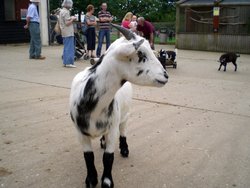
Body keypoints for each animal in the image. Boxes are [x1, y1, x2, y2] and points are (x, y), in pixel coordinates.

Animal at [69, 23, 169, 188]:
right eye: (141, 53)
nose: (166, 75)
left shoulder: (113, 128)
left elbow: (108, 157)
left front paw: (106, 182)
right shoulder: (80, 132)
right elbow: (88, 157)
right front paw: (91, 179)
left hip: (125, 116)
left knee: (123, 131)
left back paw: (124, 149)